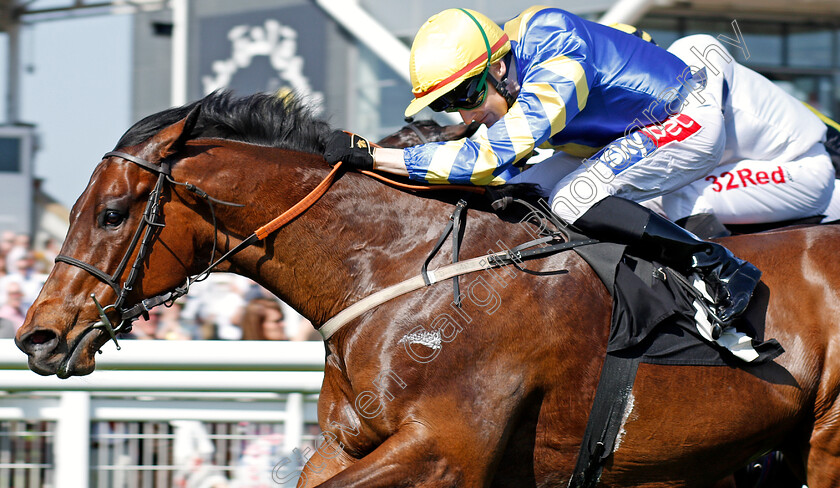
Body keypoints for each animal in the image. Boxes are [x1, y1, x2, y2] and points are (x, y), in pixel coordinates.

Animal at [11, 90, 840, 484]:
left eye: (112, 213)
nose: (36, 335)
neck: (402, 271)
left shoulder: (445, 449)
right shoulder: (348, 444)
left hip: (825, 438)